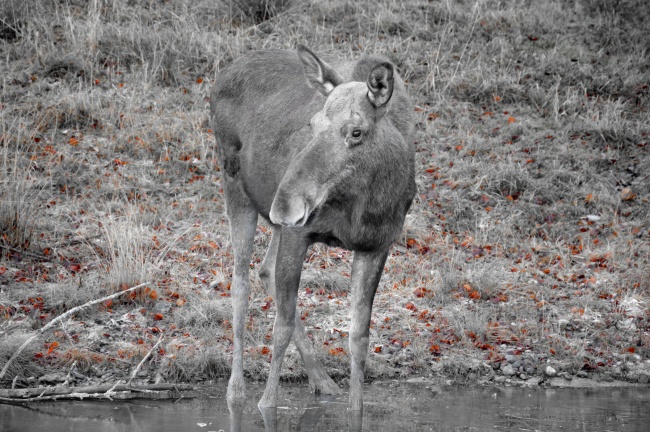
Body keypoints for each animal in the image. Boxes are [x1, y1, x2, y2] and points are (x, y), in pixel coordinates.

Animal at [211, 45, 416, 410]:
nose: (284, 203)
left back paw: (322, 381)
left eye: (356, 131)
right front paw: (266, 404)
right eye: (313, 124)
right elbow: (281, 328)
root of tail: (225, 71)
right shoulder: (299, 233)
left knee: (264, 271)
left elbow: (359, 336)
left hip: (274, 221)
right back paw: (236, 392)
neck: (363, 206)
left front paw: (354, 407)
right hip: (235, 186)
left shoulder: (377, 245)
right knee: (240, 283)